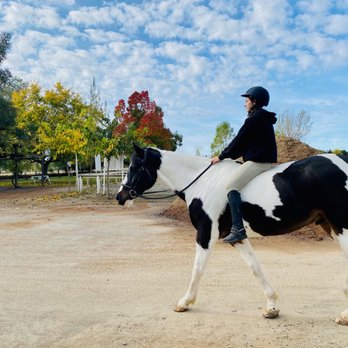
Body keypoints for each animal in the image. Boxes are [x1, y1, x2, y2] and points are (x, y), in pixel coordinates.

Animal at [116, 143, 348, 324]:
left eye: (134, 166)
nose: (120, 196)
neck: (202, 183)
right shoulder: (237, 238)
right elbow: (255, 267)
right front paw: (271, 307)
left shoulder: (205, 234)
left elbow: (197, 269)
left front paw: (184, 302)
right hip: (330, 226)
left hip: (341, 225)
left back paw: (344, 316)